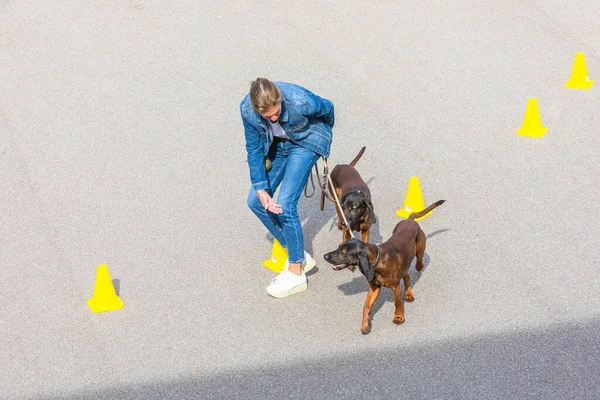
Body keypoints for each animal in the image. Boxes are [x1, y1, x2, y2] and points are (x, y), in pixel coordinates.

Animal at [324, 200, 446, 334]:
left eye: (343, 252)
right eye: (338, 247)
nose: (325, 256)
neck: (377, 262)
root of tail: (410, 219)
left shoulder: (395, 286)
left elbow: (397, 303)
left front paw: (398, 317)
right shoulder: (374, 287)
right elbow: (366, 306)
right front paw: (365, 324)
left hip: (419, 251)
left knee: (418, 264)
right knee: (407, 275)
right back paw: (408, 293)